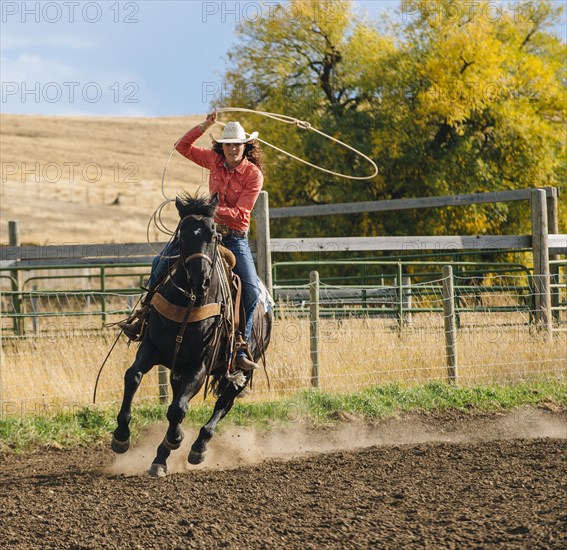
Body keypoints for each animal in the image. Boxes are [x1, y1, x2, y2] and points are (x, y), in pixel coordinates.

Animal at [112, 194, 272, 478]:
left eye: (213, 234)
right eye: (182, 234)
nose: (200, 281)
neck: (189, 301)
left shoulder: (200, 364)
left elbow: (178, 409)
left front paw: (175, 440)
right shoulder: (151, 348)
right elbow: (133, 377)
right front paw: (121, 436)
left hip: (244, 369)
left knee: (223, 404)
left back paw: (197, 448)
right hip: (180, 368)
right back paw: (162, 457)